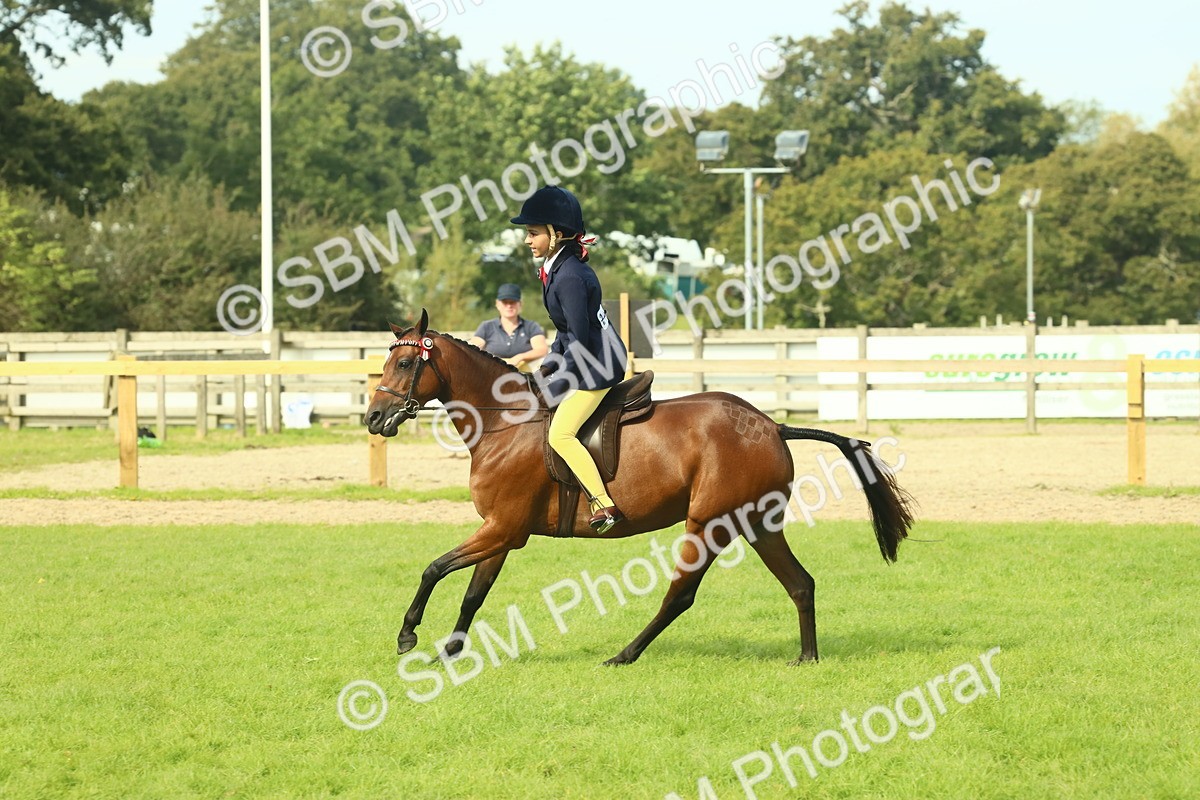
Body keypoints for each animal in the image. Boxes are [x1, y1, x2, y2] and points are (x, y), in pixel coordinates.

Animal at [366, 310, 915, 665]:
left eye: (406, 364)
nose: (372, 418)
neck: (505, 420)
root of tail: (771, 425)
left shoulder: (504, 529)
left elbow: (434, 568)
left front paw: (408, 636)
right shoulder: (501, 531)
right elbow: (473, 594)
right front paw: (449, 652)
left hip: (708, 523)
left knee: (680, 595)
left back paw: (624, 654)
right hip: (758, 523)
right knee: (800, 583)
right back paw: (807, 658)